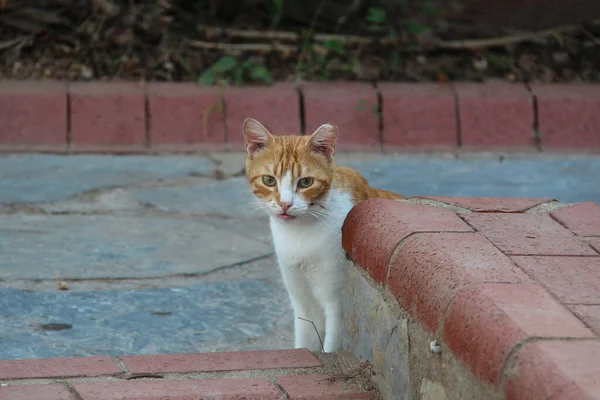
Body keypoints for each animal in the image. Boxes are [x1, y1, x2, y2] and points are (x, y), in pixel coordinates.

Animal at [243, 117, 404, 352]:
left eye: (306, 182)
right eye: (269, 180)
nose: (285, 204)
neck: (299, 236)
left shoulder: (337, 304)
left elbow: (331, 345)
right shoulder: (302, 302)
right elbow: (305, 343)